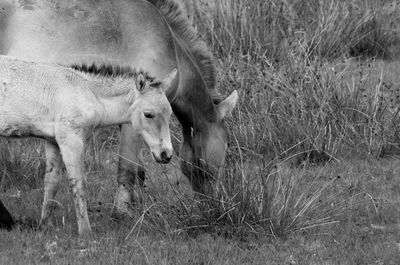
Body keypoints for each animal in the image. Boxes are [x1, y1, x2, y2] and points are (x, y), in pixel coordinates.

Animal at [0, 0, 238, 210]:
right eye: (226, 146)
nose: (212, 205)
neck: (169, 44)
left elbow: (139, 171)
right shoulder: (133, 123)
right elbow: (127, 169)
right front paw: (121, 211)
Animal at [0, 55, 177, 233]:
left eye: (169, 113)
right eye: (148, 114)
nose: (166, 154)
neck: (85, 91)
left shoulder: (53, 141)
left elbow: (51, 182)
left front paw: (44, 225)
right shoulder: (71, 139)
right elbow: (78, 183)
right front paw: (85, 231)